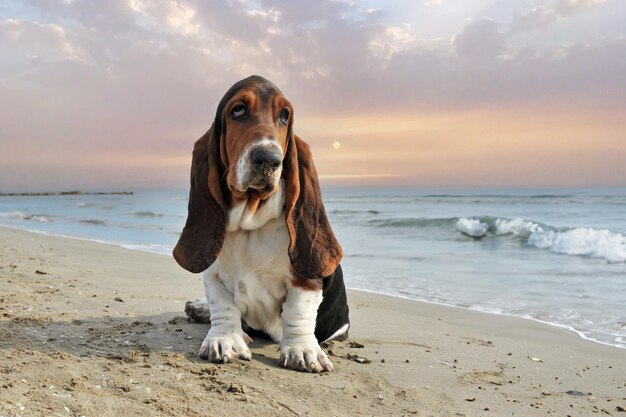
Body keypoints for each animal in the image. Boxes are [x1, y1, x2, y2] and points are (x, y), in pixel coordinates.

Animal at [173, 74, 348, 370]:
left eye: (284, 116)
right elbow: (222, 305)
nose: (268, 159)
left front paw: (302, 350)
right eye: (238, 110)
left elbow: (298, 311)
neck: (250, 225)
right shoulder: (214, 273)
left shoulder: (305, 282)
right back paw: (200, 308)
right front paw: (225, 339)